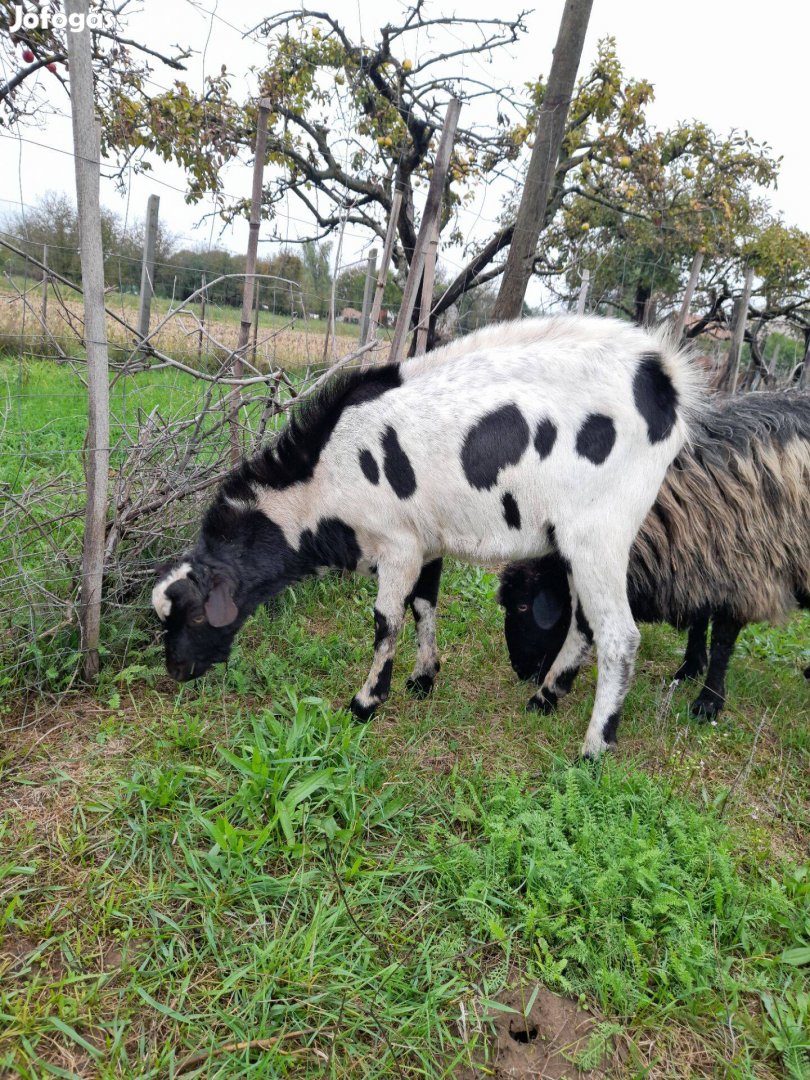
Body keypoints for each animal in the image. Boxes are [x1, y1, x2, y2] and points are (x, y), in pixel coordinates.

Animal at [153, 319, 704, 756]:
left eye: (198, 614)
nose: (176, 671)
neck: (320, 481)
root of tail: (664, 376)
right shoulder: (427, 539)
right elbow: (424, 606)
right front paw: (423, 678)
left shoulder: (397, 543)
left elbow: (386, 620)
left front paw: (366, 701)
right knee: (587, 623)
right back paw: (545, 697)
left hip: (598, 533)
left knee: (619, 636)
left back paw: (594, 747)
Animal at [501, 393, 810, 721]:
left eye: (523, 605)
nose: (520, 671)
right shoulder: (697, 562)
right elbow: (699, 618)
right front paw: (689, 668)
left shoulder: (742, 571)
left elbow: (723, 642)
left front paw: (708, 702)